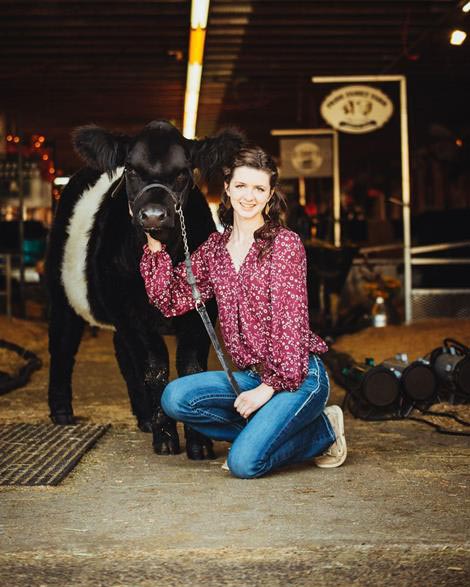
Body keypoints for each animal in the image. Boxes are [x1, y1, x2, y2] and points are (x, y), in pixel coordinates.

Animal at [46, 120, 244, 460]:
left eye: (183, 172)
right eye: (131, 170)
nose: (153, 215)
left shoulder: (201, 312)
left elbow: (189, 367)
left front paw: (199, 442)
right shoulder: (133, 314)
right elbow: (154, 368)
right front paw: (166, 438)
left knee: (123, 355)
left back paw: (144, 418)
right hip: (61, 293)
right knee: (63, 344)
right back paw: (62, 413)